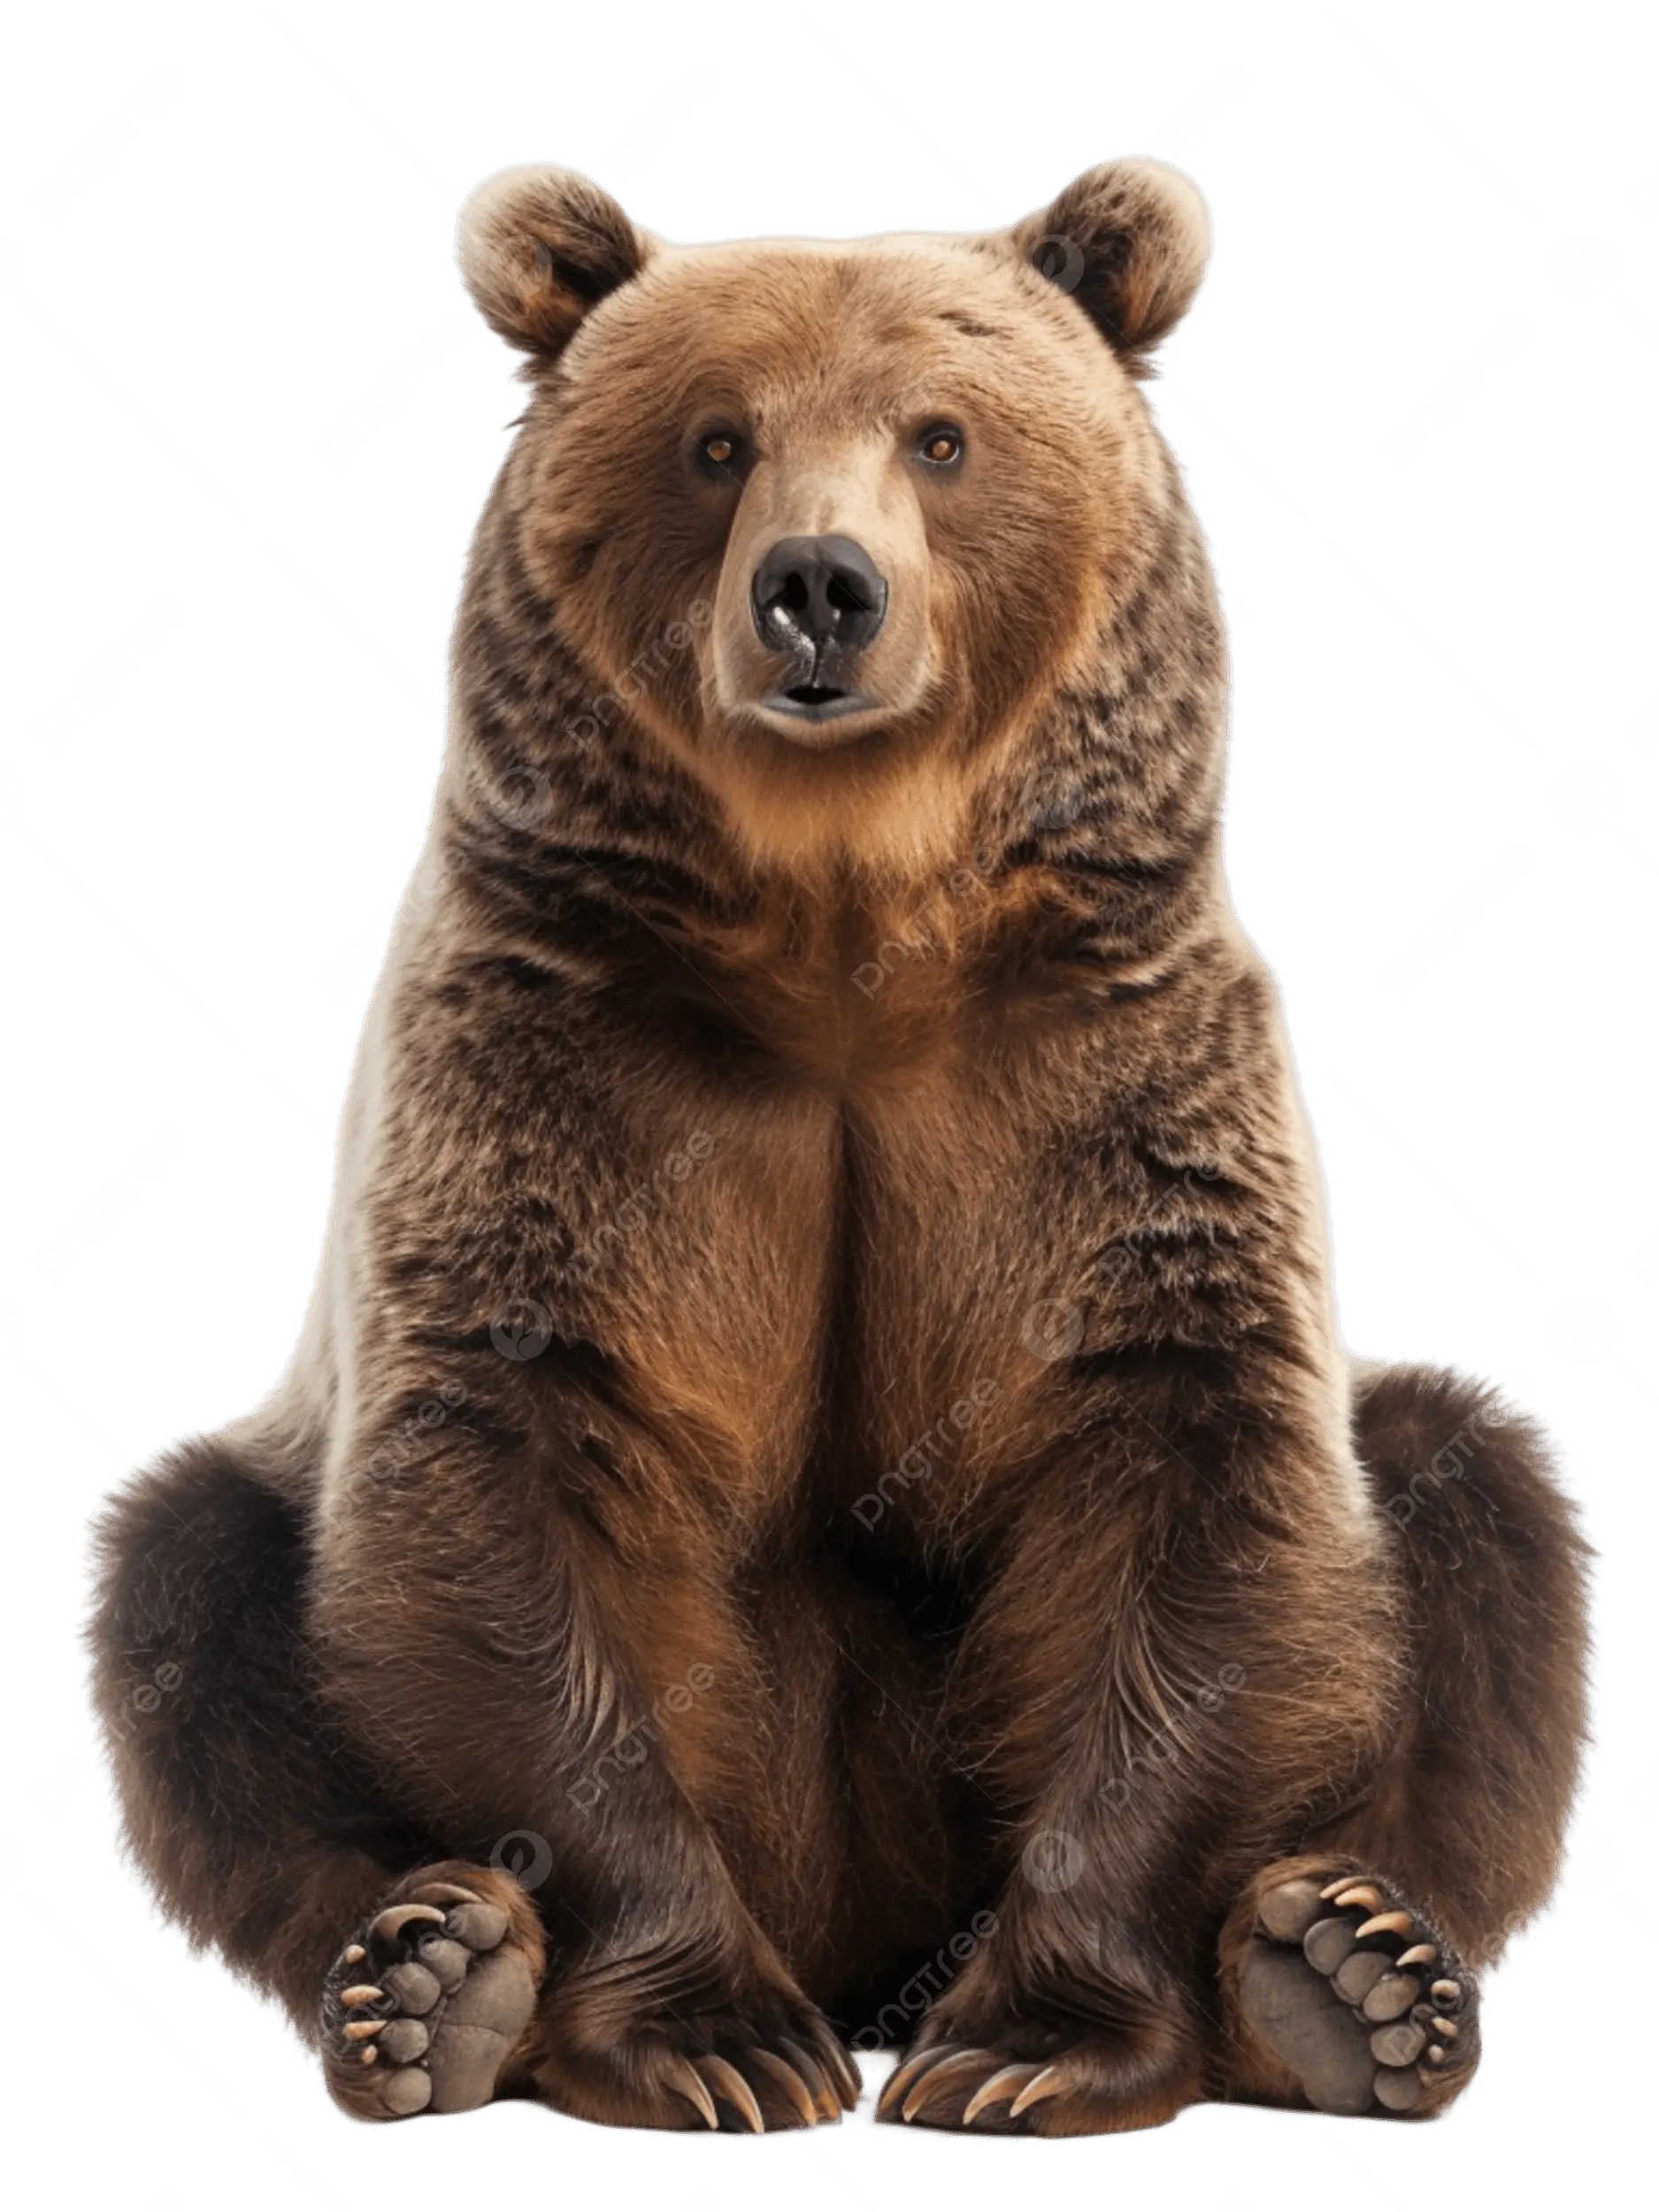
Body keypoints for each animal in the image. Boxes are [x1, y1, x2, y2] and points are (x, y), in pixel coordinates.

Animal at [81, 152, 1598, 2138]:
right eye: (716, 440)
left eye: (941, 436)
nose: (820, 587)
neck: (848, 926)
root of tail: (863, 1944)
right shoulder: (555, 1063)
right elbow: (501, 1473)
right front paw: (713, 2035)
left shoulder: (1102, 1071)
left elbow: (1192, 1461)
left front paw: (1033, 2040)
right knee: (177, 1558)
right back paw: (426, 1973)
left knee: (1483, 1489)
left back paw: (1346, 1968)